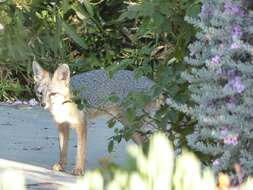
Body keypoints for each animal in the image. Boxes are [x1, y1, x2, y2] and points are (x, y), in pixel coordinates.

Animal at [32, 61, 161, 176]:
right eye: (40, 93)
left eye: (52, 94)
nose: (43, 104)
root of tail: (153, 83)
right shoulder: (62, 125)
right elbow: (63, 149)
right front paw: (61, 165)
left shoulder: (81, 125)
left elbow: (80, 150)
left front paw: (79, 170)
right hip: (131, 129)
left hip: (137, 125)